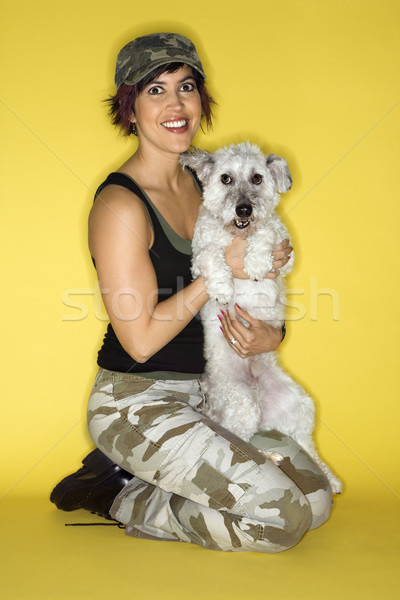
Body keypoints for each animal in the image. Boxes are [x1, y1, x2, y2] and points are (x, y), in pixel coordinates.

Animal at [180, 143, 342, 494]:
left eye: (257, 178)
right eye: (225, 178)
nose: (243, 209)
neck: (237, 235)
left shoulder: (285, 254)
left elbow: (266, 234)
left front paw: (255, 262)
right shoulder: (198, 260)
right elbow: (211, 255)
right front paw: (224, 287)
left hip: (299, 403)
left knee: (305, 445)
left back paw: (330, 478)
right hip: (241, 401)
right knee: (238, 441)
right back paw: (271, 457)